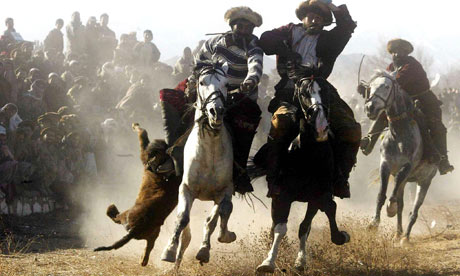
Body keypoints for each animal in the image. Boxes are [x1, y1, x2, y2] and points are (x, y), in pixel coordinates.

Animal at [161, 63, 237, 268]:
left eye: (226, 83)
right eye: (202, 82)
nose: (216, 111)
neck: (209, 154)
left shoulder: (224, 191)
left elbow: (215, 218)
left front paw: (206, 249)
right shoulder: (186, 189)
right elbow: (182, 218)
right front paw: (168, 251)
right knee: (186, 234)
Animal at [364, 70, 436, 245]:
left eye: (386, 86)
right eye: (371, 86)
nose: (370, 108)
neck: (399, 134)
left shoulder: (407, 167)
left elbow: (394, 196)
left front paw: (390, 208)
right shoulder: (385, 165)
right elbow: (382, 195)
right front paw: (374, 223)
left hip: (425, 181)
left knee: (414, 211)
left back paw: (406, 238)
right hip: (406, 181)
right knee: (402, 205)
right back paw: (398, 234)